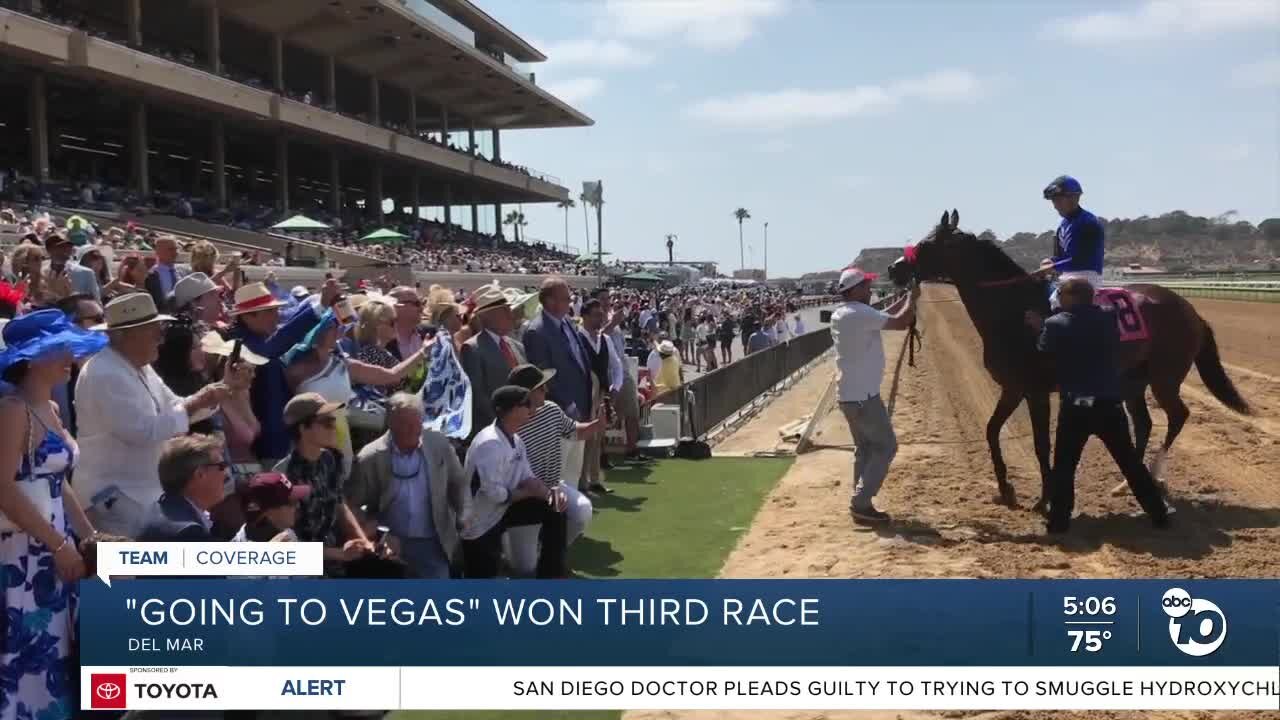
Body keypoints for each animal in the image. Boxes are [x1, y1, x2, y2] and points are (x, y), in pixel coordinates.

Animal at [890, 208, 1249, 509]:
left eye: (928, 243)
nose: (895, 268)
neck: (1015, 311)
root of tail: (1190, 310)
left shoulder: (1035, 392)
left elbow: (1040, 444)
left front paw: (1044, 499)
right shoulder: (1013, 389)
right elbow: (991, 431)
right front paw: (1006, 490)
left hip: (1165, 377)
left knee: (1177, 416)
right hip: (1133, 381)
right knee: (1145, 423)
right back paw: (1127, 484)